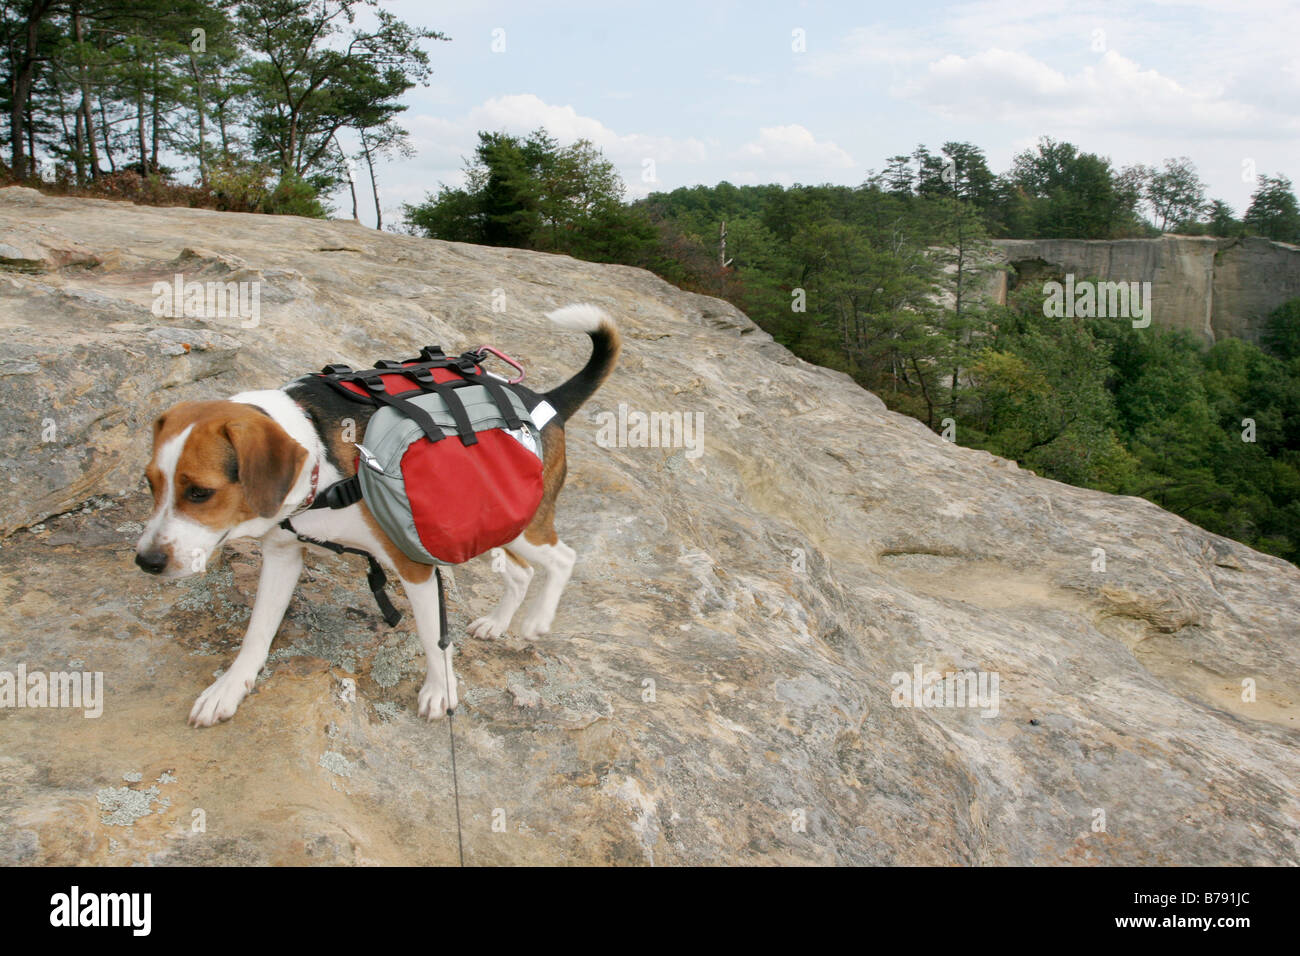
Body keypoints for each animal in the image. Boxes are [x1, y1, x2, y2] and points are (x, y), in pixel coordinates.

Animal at [134, 306, 621, 723]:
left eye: (200, 492)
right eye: (151, 484)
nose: (146, 561)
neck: (318, 448)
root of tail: (544, 398)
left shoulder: (414, 564)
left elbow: (432, 638)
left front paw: (440, 689)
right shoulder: (282, 555)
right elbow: (257, 632)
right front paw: (229, 687)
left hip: (519, 524)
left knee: (562, 559)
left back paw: (537, 619)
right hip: (487, 520)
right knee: (521, 572)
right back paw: (497, 623)